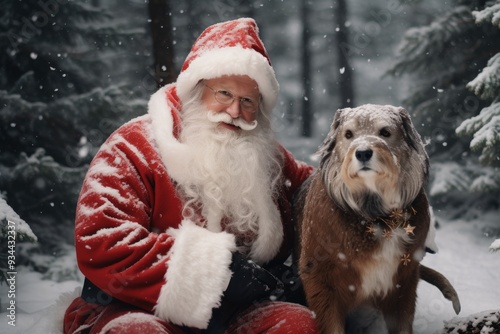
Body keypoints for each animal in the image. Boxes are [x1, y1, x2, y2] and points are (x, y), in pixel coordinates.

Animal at [296, 105, 460, 334]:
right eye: (348, 134)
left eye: (385, 132)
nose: (363, 152)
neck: (376, 216)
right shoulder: (320, 279)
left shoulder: (403, 282)